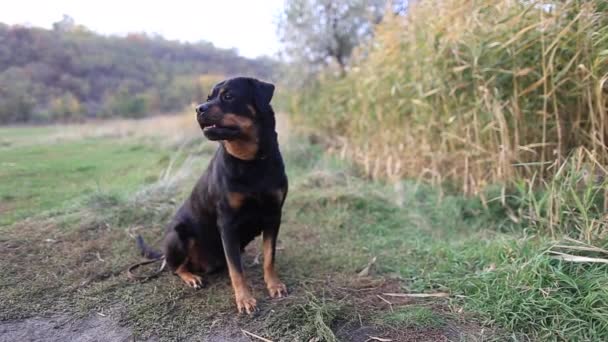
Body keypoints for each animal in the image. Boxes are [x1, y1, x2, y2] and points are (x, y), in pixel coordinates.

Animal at [137, 76, 288, 314]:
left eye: (228, 96)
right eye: (209, 98)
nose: (199, 108)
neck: (251, 162)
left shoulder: (274, 215)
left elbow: (269, 257)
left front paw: (274, 285)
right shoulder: (227, 223)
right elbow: (236, 270)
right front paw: (245, 299)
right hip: (178, 236)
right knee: (175, 267)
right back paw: (191, 277)